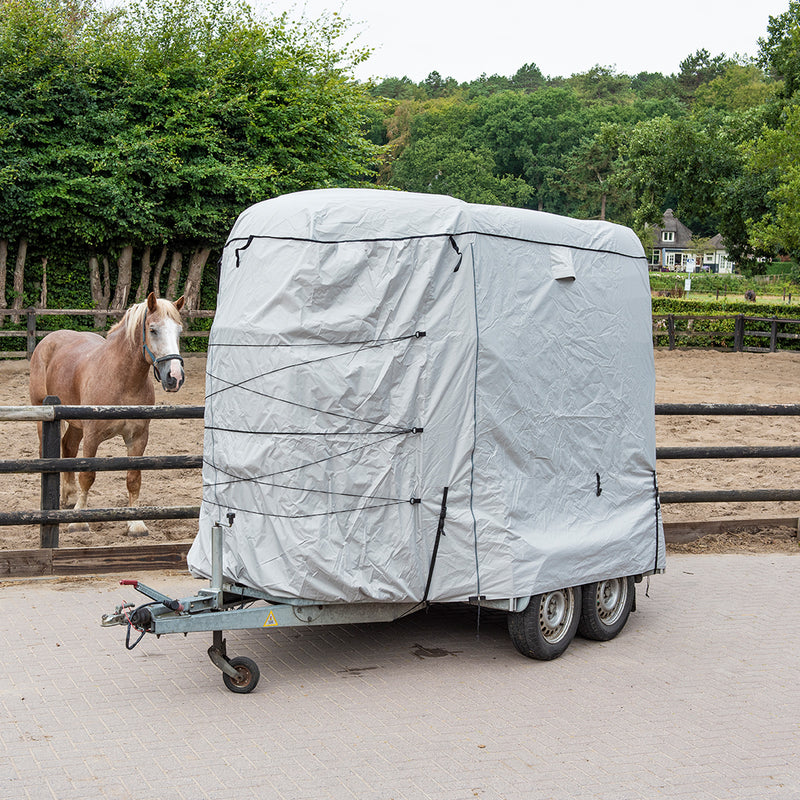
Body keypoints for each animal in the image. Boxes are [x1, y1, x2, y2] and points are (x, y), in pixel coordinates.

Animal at [29, 294, 186, 536]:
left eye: (179, 331)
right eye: (153, 330)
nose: (175, 377)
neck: (122, 381)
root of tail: (49, 339)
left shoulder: (138, 438)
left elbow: (133, 479)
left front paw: (136, 524)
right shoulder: (92, 436)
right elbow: (87, 476)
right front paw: (78, 522)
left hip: (76, 425)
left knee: (69, 447)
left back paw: (70, 497)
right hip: (42, 413)